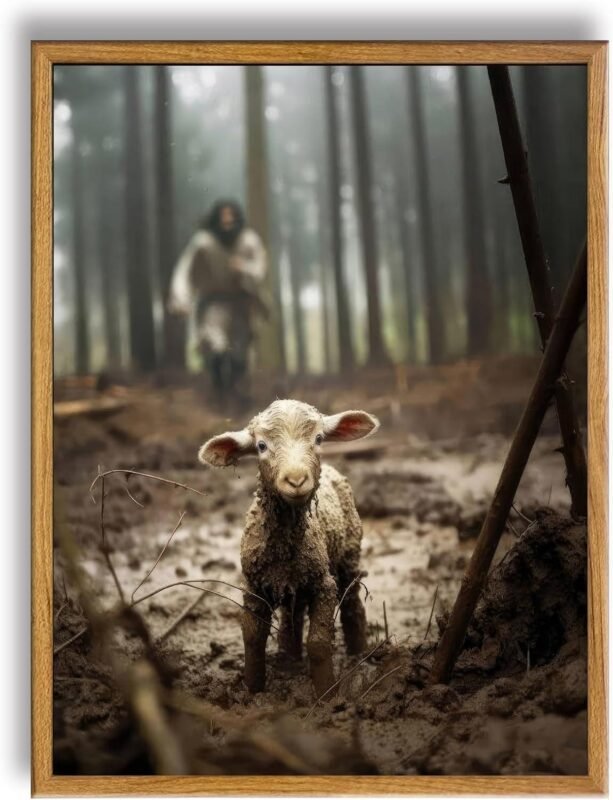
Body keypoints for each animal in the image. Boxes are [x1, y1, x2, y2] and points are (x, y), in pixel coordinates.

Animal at [198, 399, 379, 696]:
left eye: (319, 439)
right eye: (261, 445)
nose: (296, 480)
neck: (284, 545)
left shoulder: (323, 584)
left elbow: (318, 642)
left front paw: (326, 693)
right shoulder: (254, 585)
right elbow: (252, 637)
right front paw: (252, 689)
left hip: (348, 555)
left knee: (352, 601)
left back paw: (359, 653)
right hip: (294, 580)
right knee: (292, 614)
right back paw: (288, 657)